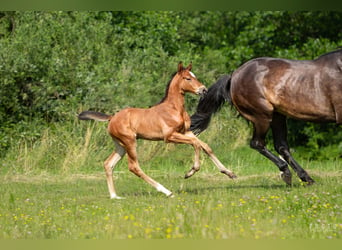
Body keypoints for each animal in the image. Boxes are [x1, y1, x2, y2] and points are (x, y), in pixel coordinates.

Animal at [79, 62, 236, 199]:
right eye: (188, 78)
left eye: (194, 76)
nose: (203, 90)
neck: (174, 109)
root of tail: (112, 118)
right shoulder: (169, 136)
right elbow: (196, 144)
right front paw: (190, 172)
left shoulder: (186, 132)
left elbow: (205, 146)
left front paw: (229, 173)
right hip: (130, 142)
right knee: (134, 167)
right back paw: (167, 192)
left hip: (120, 145)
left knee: (108, 164)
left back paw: (114, 196)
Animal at [191, 49, 340, 186]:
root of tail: (234, 75)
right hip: (262, 116)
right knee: (258, 143)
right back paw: (287, 172)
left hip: (277, 116)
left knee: (281, 146)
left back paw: (304, 178)